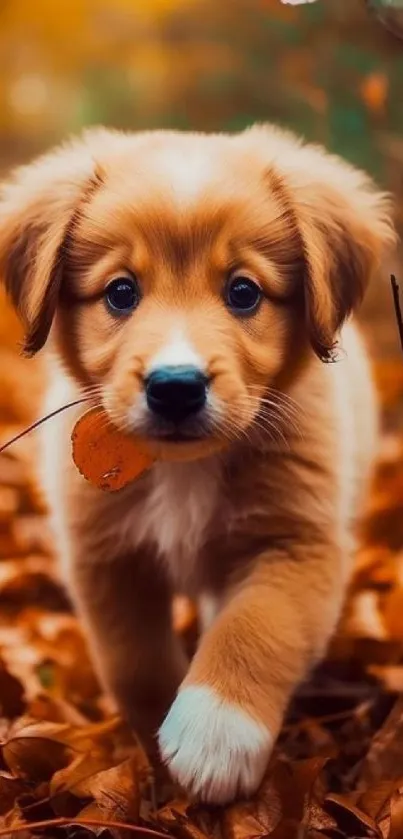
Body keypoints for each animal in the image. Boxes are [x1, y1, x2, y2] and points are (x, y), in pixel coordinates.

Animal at [0, 126, 398, 808]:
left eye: (243, 292)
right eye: (121, 292)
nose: (177, 387)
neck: (182, 470)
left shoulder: (298, 543)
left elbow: (258, 624)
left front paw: (216, 734)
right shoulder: (107, 555)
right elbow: (135, 663)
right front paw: (157, 755)